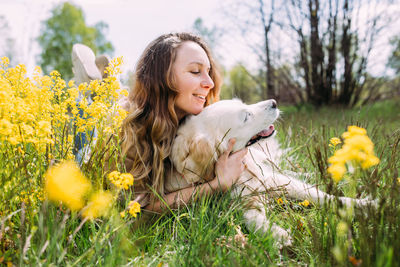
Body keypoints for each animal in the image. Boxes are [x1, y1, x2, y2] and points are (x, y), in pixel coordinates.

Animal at [166, 99, 376, 248]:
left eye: (243, 103)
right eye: (246, 116)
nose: (274, 102)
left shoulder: (273, 180)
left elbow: (320, 195)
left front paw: (364, 205)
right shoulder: (241, 199)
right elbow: (253, 219)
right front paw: (275, 233)